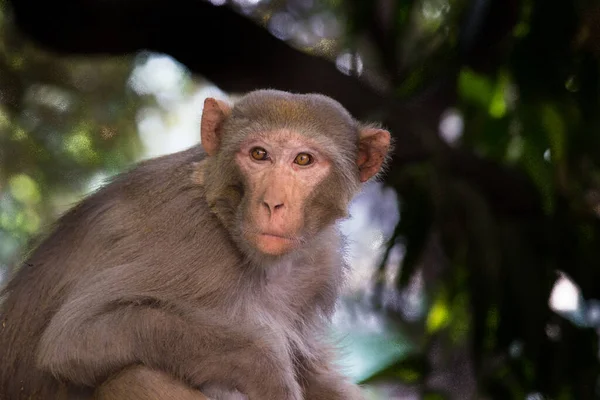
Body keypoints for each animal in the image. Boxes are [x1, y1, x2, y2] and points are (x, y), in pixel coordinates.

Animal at [0, 89, 392, 398]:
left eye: (304, 160)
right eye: (259, 154)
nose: (273, 203)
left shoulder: (320, 264)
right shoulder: (187, 244)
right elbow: (72, 339)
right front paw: (267, 371)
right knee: (133, 377)